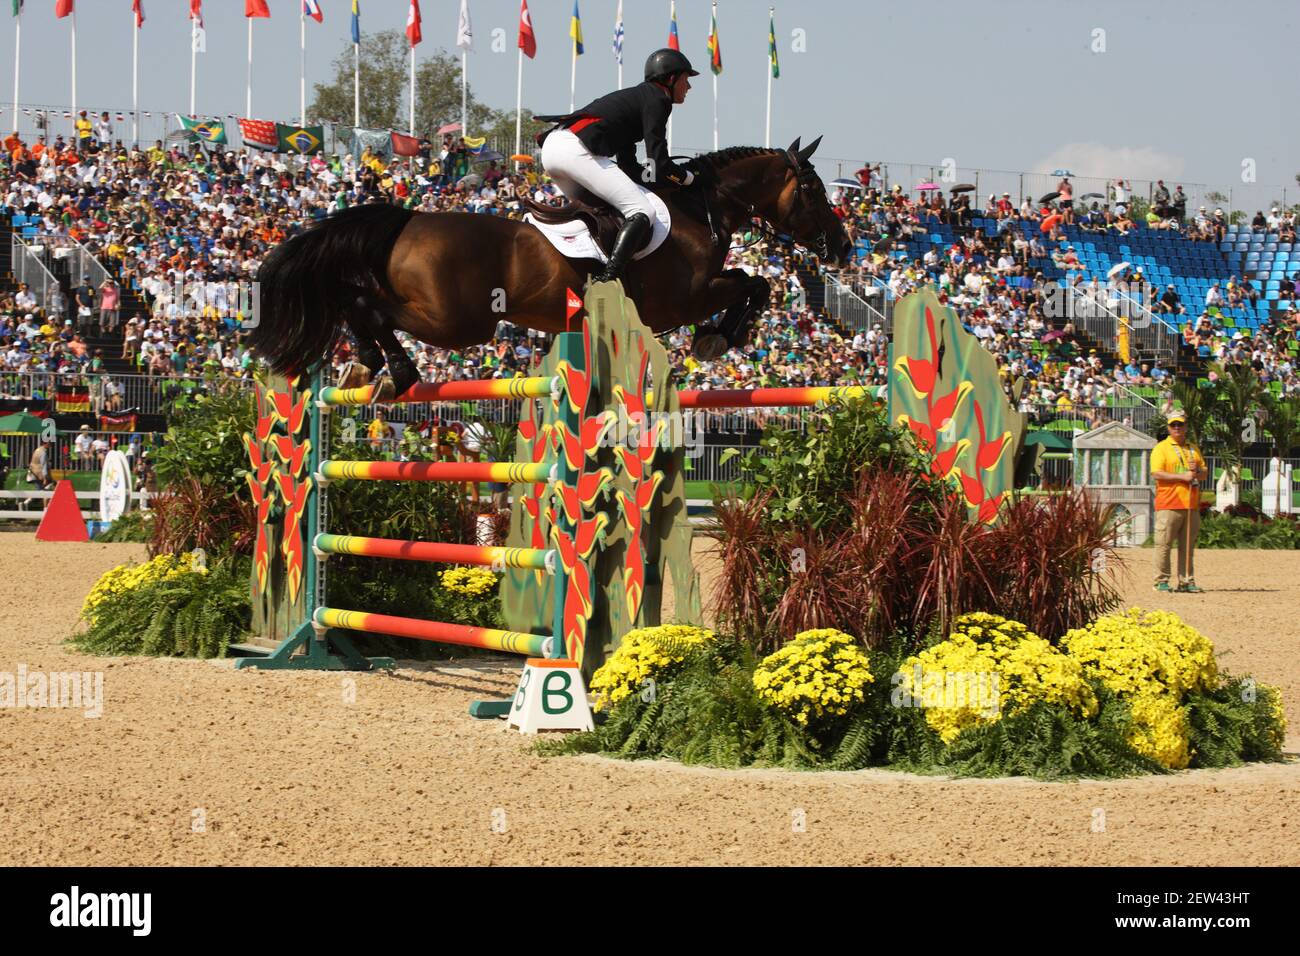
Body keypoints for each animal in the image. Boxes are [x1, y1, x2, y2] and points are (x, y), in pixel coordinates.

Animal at [248, 134, 847, 395]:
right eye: (816, 191)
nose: (842, 248)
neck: (700, 207)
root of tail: (407, 219)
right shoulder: (684, 298)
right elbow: (755, 282)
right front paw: (717, 338)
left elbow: (753, 281)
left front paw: (719, 336)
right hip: (460, 323)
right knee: (370, 307)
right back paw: (396, 370)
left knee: (354, 299)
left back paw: (366, 364)